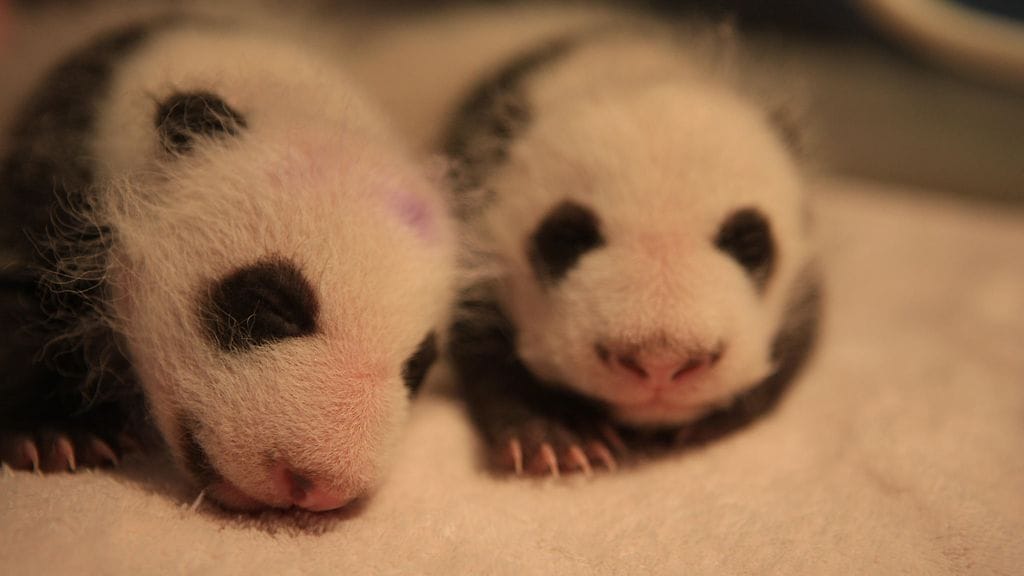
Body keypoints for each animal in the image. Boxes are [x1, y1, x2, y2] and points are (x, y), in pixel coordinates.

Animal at [337, 7, 822, 477]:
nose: (660, 363)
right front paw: (556, 439)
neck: (622, 63)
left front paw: (708, 424)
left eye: (749, 242)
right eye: (568, 238)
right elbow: (480, 341)